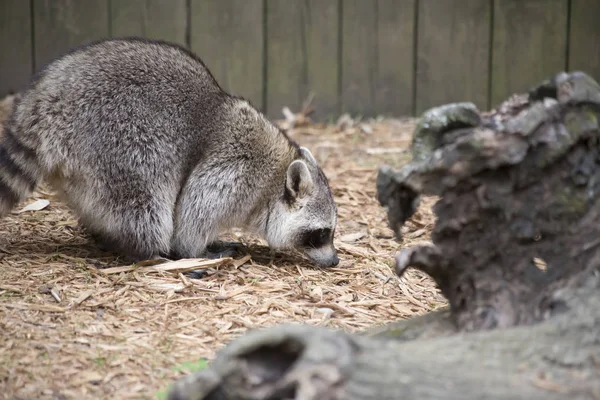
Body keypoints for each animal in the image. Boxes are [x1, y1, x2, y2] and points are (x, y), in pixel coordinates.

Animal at [0, 38, 340, 266]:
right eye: (321, 234)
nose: (335, 260)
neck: (274, 176)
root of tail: (45, 100)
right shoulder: (235, 170)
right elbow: (194, 210)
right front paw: (195, 250)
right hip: (115, 138)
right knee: (145, 200)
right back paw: (153, 254)